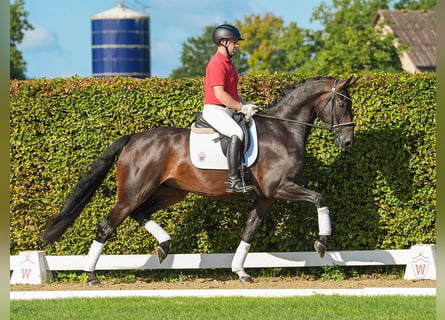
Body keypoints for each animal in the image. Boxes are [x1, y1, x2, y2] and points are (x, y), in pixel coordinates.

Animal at [41, 76, 358, 284]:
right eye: (342, 103)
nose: (348, 142)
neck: (283, 130)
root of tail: (134, 138)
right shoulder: (280, 188)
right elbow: (319, 198)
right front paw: (322, 243)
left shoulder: (266, 197)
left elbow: (249, 232)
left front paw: (240, 271)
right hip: (134, 191)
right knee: (108, 225)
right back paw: (91, 275)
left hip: (170, 192)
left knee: (140, 214)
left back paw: (163, 246)